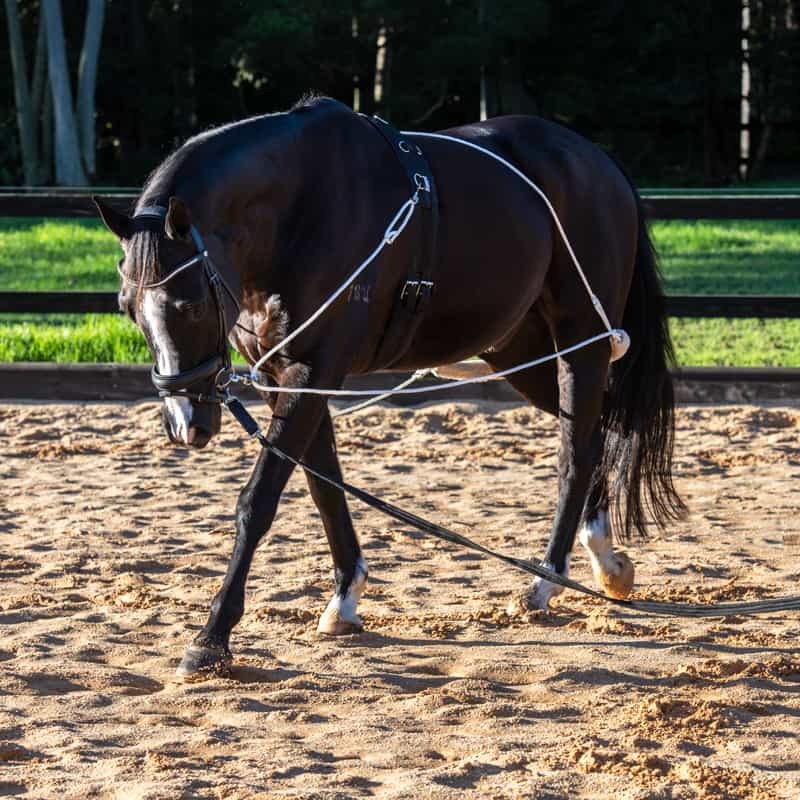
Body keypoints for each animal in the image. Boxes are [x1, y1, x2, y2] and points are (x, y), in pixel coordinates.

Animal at [94, 95, 685, 678]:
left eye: (190, 303)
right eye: (128, 307)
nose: (185, 423)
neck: (297, 210)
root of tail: (597, 163)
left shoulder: (313, 371)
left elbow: (258, 501)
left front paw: (212, 637)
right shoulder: (285, 379)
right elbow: (324, 486)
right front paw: (344, 599)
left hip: (582, 341)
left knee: (577, 451)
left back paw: (544, 580)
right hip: (521, 351)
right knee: (598, 430)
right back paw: (604, 559)